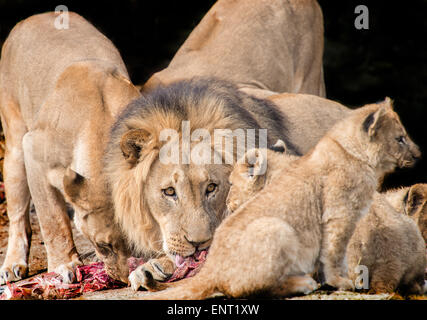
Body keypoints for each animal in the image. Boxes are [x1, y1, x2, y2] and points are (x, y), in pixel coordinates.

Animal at [0, 11, 140, 284]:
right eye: (103, 246)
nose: (124, 280)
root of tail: (32, 17)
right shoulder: (34, 152)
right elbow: (52, 220)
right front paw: (63, 265)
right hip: (14, 146)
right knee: (18, 215)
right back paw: (13, 264)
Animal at [143, 99, 422, 298]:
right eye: (400, 138)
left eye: (230, 184)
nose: (418, 155)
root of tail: (212, 271)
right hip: (277, 229)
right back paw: (303, 283)